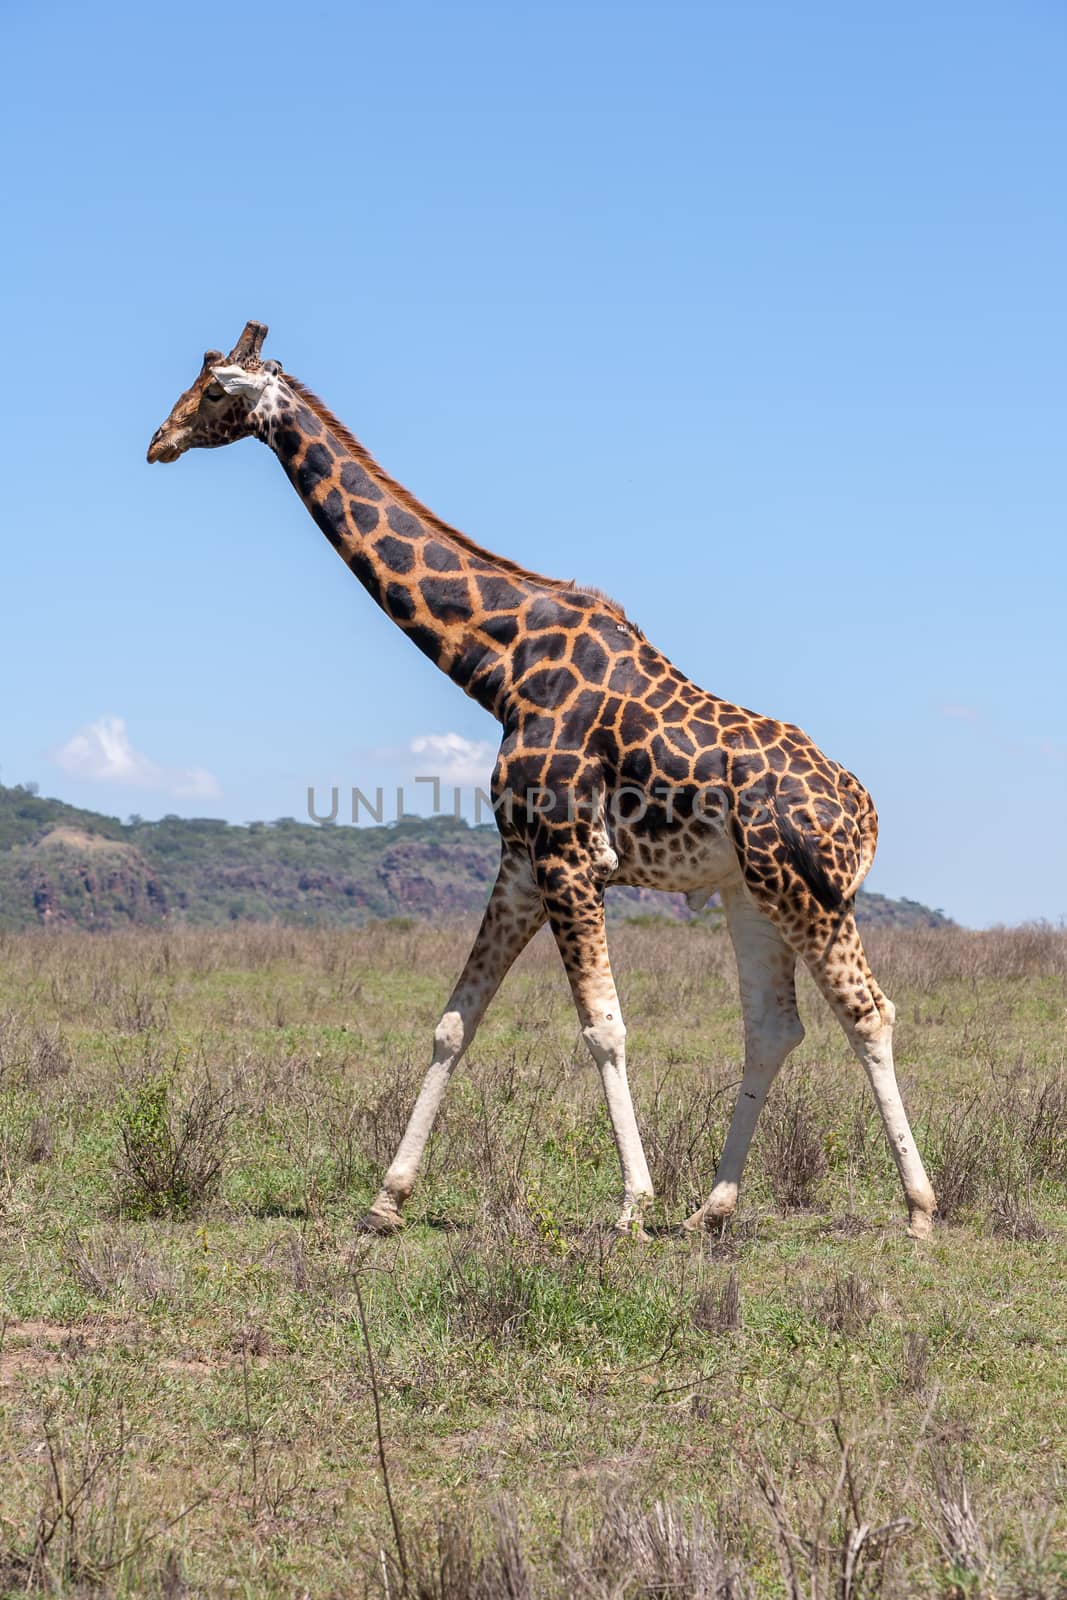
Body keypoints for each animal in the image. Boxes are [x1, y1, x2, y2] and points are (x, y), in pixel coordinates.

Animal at [147, 321, 934, 1235]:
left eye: (211, 392)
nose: (157, 442)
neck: (500, 665)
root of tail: (863, 810)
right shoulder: (520, 859)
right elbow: (455, 1021)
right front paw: (386, 1200)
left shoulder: (569, 855)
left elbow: (603, 1028)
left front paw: (630, 1206)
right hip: (750, 893)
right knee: (773, 1027)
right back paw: (710, 1210)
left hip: (810, 890)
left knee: (867, 1013)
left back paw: (917, 1211)